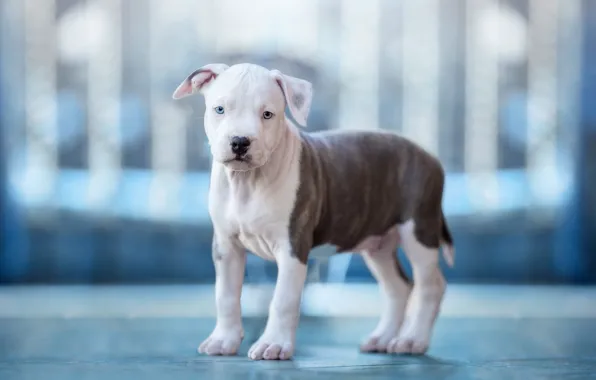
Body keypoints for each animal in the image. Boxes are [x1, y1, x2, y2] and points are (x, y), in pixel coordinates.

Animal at [175, 61, 454, 360]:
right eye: (220, 109)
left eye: (267, 114)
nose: (240, 141)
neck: (247, 182)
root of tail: (430, 157)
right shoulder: (226, 247)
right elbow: (225, 296)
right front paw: (223, 341)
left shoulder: (293, 246)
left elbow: (283, 299)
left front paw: (273, 344)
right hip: (378, 244)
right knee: (399, 287)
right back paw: (382, 338)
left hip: (419, 230)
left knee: (430, 286)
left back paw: (412, 340)